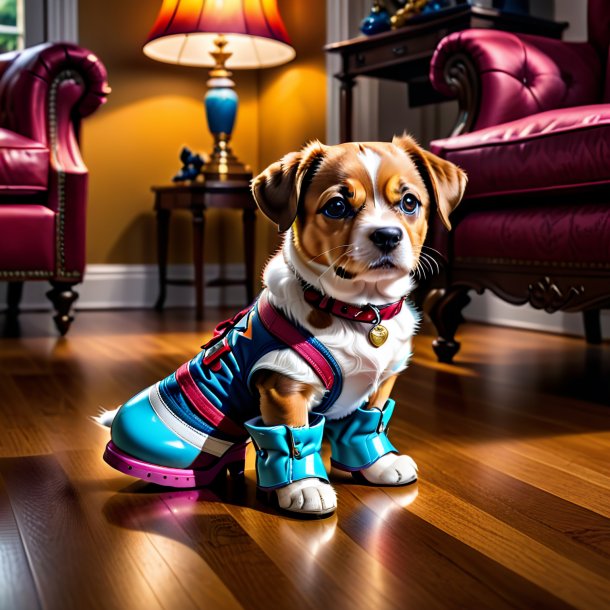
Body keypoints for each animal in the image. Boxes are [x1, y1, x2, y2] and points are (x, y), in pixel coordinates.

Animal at [97, 135, 464, 516]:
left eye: (409, 202)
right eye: (336, 206)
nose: (388, 235)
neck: (359, 311)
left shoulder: (379, 384)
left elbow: (366, 424)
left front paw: (378, 464)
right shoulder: (284, 387)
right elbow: (293, 436)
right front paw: (304, 488)